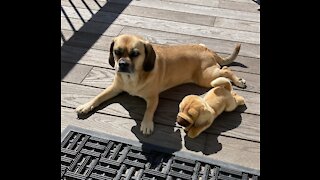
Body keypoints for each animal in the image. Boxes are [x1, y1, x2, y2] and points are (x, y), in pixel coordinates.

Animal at [76, 33, 246, 135]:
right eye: (117, 52)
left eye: (135, 54)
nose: (122, 64)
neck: (132, 77)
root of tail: (207, 49)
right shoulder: (115, 87)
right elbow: (98, 97)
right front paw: (86, 105)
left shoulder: (153, 98)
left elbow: (149, 110)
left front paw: (146, 123)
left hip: (206, 77)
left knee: (226, 70)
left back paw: (239, 81)